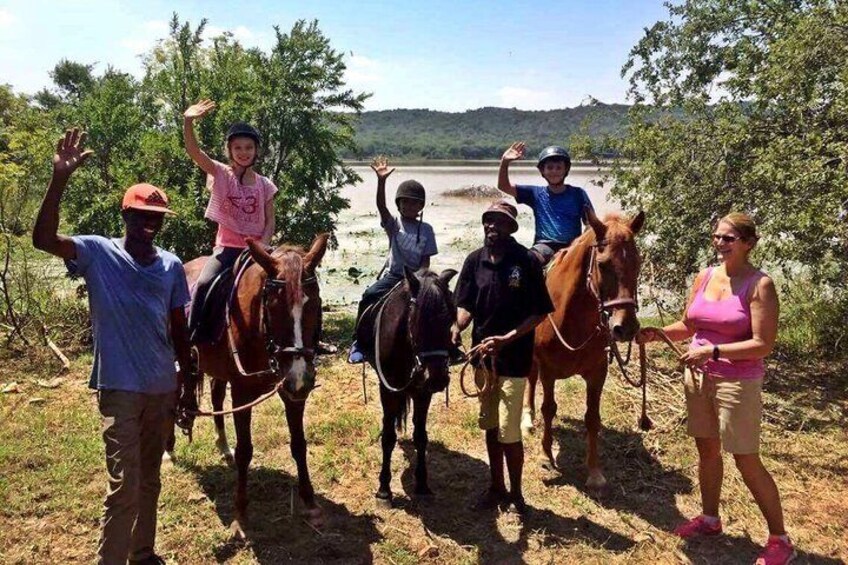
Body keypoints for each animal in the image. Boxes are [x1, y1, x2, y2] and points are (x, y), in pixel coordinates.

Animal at [182, 234, 328, 532]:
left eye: (315, 303)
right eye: (272, 306)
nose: (301, 376)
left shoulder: (292, 391)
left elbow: (299, 444)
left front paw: (310, 502)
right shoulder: (242, 393)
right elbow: (245, 451)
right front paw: (240, 514)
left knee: (216, 397)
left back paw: (222, 446)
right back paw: (168, 451)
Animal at [356, 266, 458, 504]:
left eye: (450, 318)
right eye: (419, 321)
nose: (437, 378)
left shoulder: (423, 392)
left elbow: (420, 436)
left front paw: (422, 484)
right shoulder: (387, 389)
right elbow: (388, 436)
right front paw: (384, 489)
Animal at [520, 209, 644, 492]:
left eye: (638, 263)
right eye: (603, 264)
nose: (626, 327)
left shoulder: (597, 372)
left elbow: (592, 418)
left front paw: (594, 472)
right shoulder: (549, 370)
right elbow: (549, 408)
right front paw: (546, 457)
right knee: (530, 380)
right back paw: (527, 419)